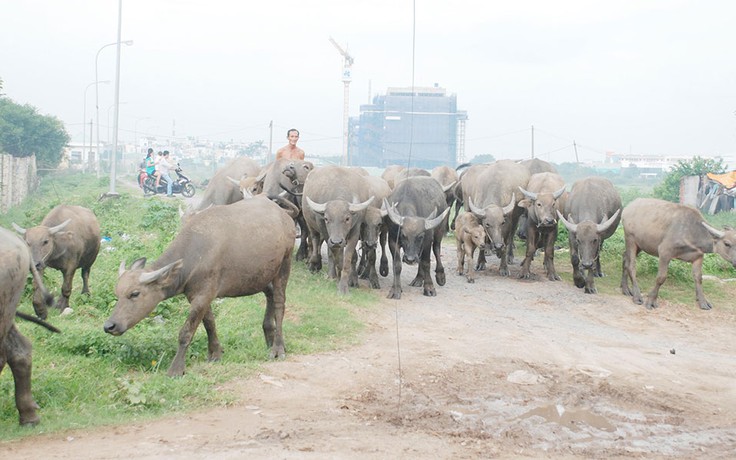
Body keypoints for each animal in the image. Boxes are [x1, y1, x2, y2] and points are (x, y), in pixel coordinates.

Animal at [103, 199, 294, 378]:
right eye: (117, 294)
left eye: (134, 293)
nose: (109, 326)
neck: (194, 255)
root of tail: (284, 215)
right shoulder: (200, 296)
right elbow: (209, 323)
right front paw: (215, 353)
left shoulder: (203, 296)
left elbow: (186, 332)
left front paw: (176, 369)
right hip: (262, 274)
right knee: (270, 294)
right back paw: (269, 337)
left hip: (284, 264)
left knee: (279, 303)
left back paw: (277, 348)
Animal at [304, 165, 374, 294]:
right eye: (326, 218)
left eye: (347, 218)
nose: (336, 241)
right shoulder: (325, 231)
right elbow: (335, 255)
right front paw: (337, 275)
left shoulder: (355, 232)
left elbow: (346, 259)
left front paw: (344, 286)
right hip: (311, 225)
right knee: (315, 241)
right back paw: (320, 268)